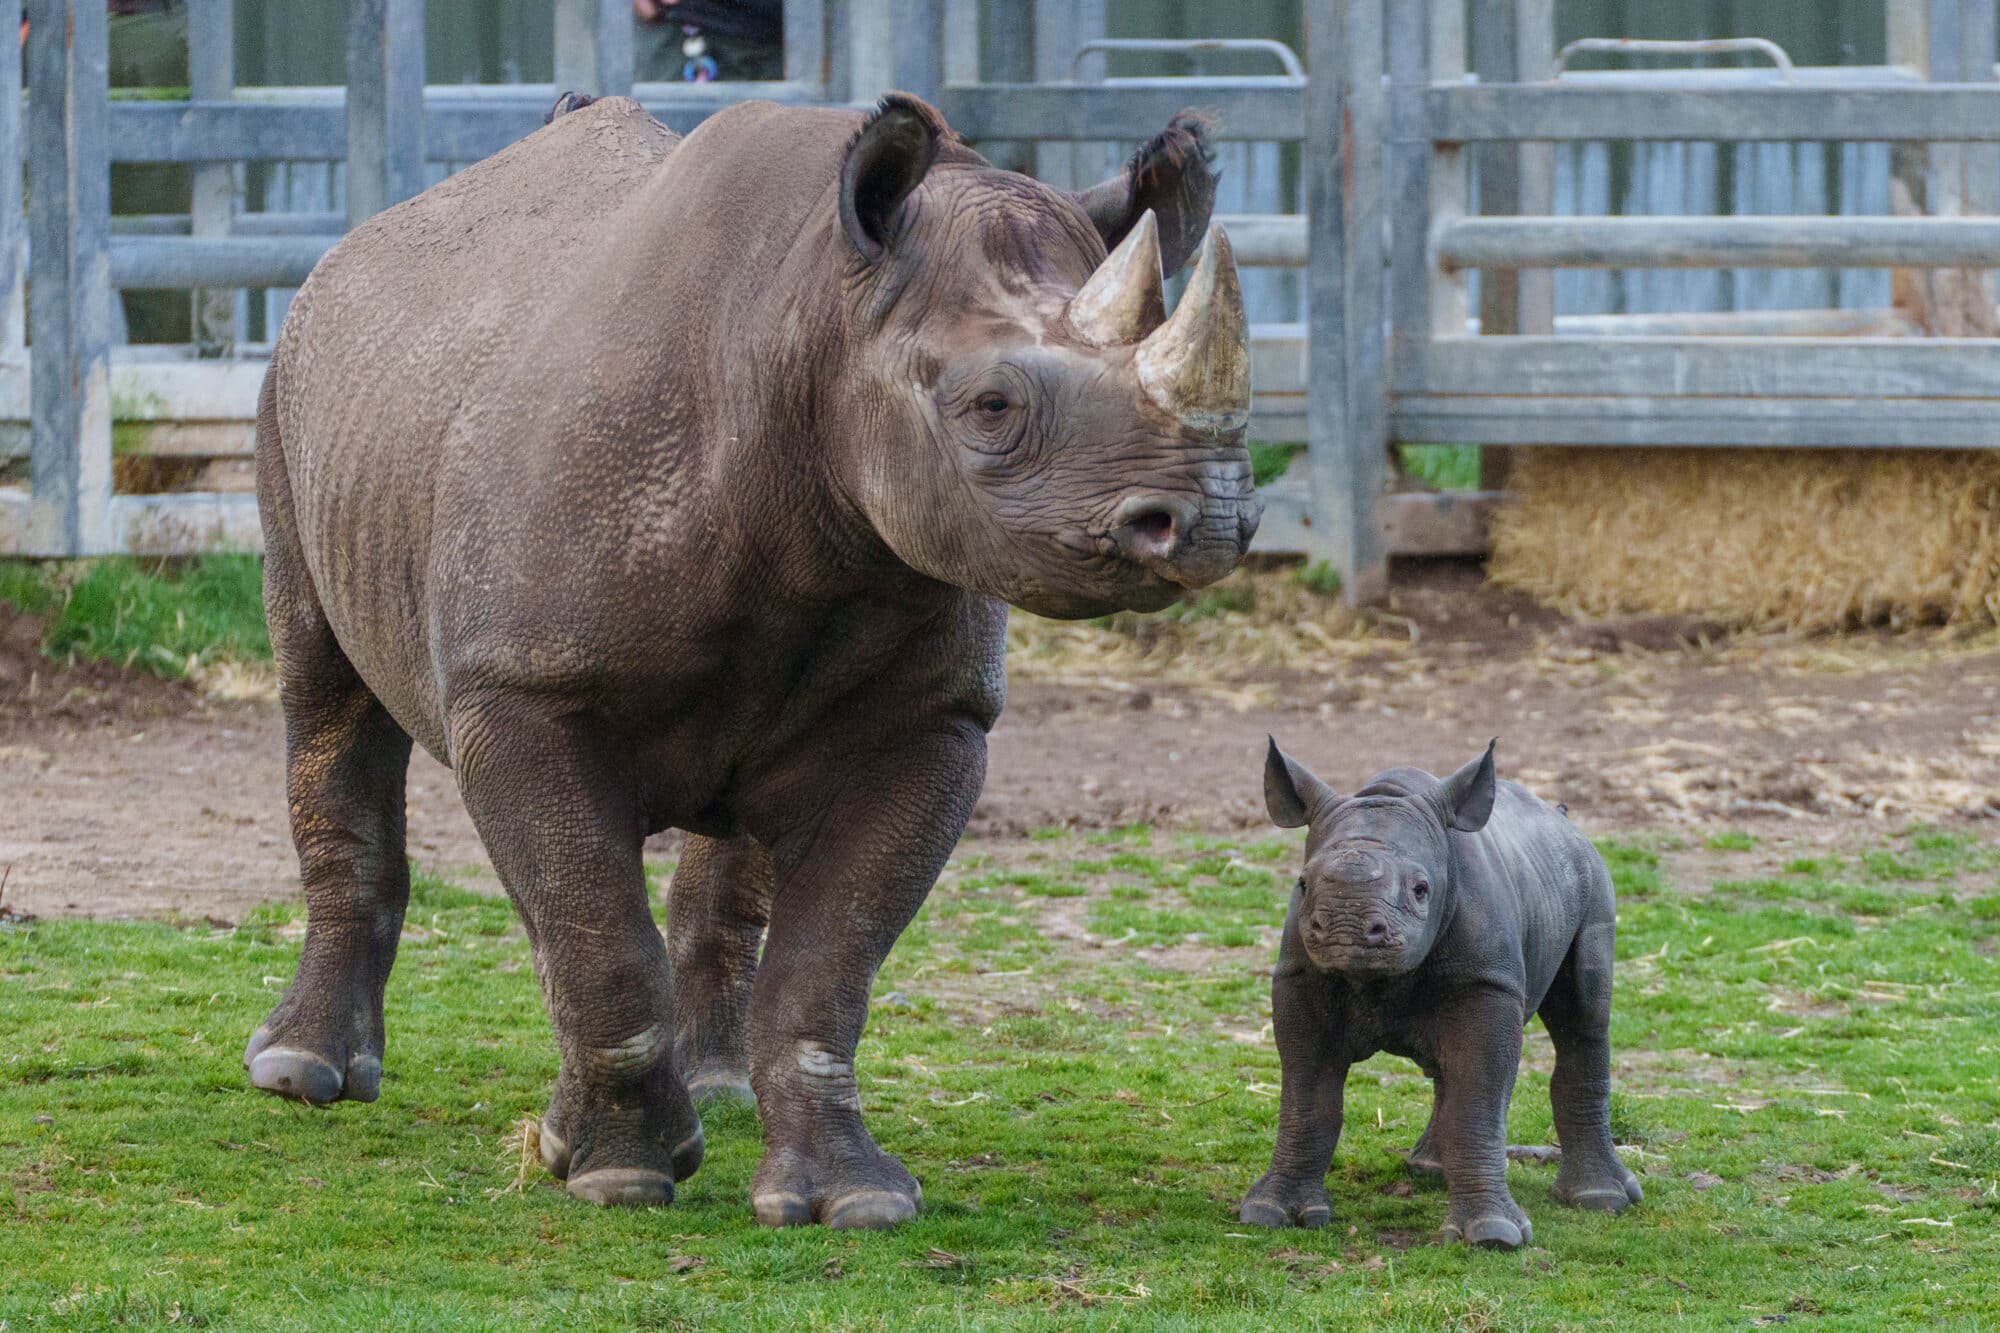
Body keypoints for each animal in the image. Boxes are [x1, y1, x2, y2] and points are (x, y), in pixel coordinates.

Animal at [243, 92, 1259, 1229]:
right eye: (991, 408)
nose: (1211, 517)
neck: (814, 319)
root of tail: (365, 240)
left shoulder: (933, 717)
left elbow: (829, 964)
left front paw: (850, 1200)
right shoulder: (519, 689)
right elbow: (595, 934)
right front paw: (617, 1175)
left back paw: (710, 1089)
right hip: (293, 387)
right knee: (325, 690)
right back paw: (303, 1073)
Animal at [1240, 740, 1642, 1249]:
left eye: (1420, 890)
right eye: (1303, 884)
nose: (1346, 930)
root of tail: (1564, 821)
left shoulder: (1487, 979)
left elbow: (1480, 1091)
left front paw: (1492, 1236)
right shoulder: (1300, 975)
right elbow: (1307, 1096)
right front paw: (1270, 1213)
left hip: (1591, 879)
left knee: (1583, 1019)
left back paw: (1601, 1200)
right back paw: (1431, 1170)